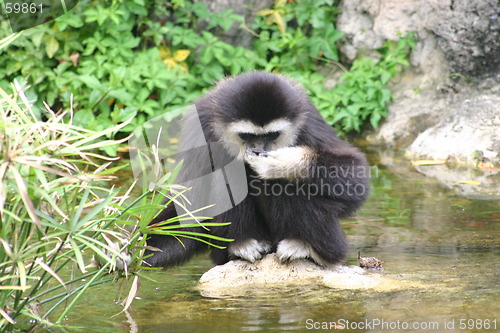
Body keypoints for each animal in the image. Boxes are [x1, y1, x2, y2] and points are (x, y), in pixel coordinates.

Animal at [143, 70, 370, 268]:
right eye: (247, 135)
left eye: (272, 135)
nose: (259, 148)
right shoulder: (199, 122)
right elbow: (190, 200)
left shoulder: (308, 118)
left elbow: (356, 178)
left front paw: (283, 163)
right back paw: (241, 244)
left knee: (287, 182)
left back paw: (310, 248)